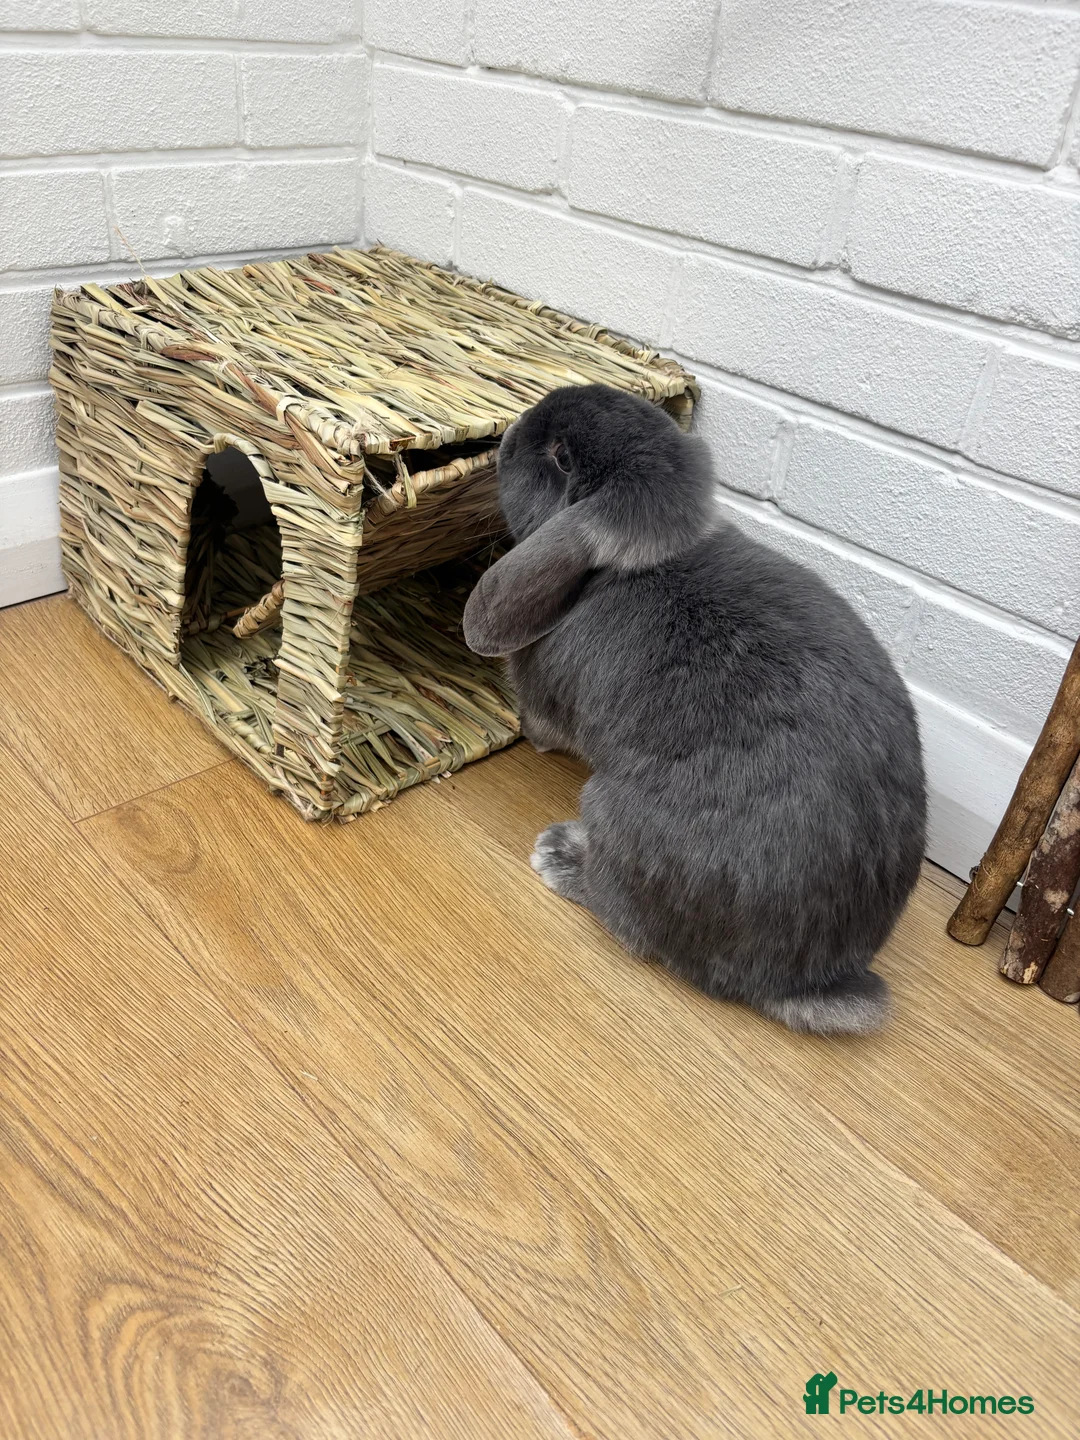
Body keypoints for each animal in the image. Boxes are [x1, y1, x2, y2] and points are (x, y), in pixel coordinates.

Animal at [463, 384, 926, 1035]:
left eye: (560, 455)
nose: (511, 429)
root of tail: (808, 979)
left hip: (610, 814)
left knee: (627, 921)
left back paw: (560, 858)